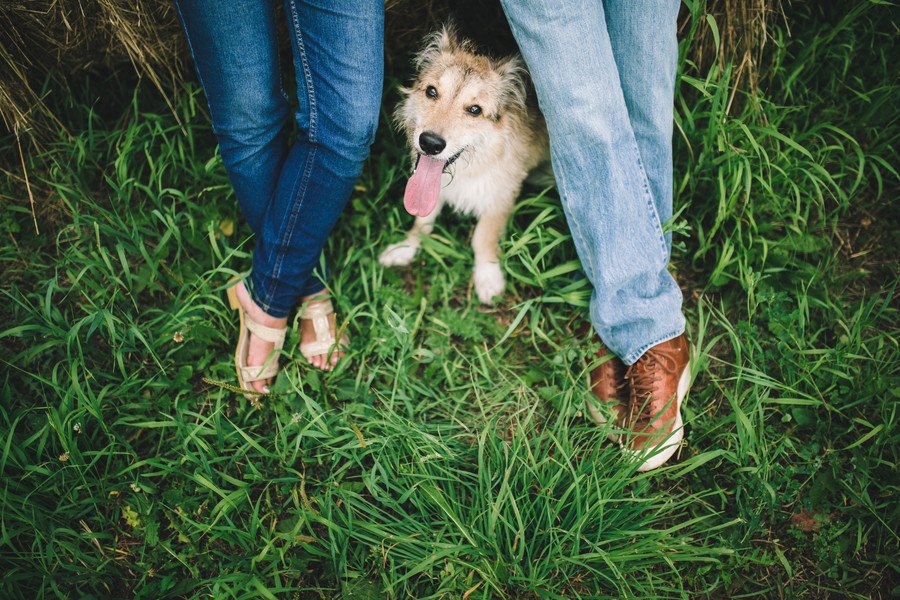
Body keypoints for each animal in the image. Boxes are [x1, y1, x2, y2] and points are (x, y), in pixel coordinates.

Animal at [378, 25, 548, 304]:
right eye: (431, 92)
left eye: (475, 110)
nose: (430, 143)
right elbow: (422, 223)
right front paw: (405, 248)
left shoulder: (501, 195)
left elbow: (483, 238)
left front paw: (488, 276)